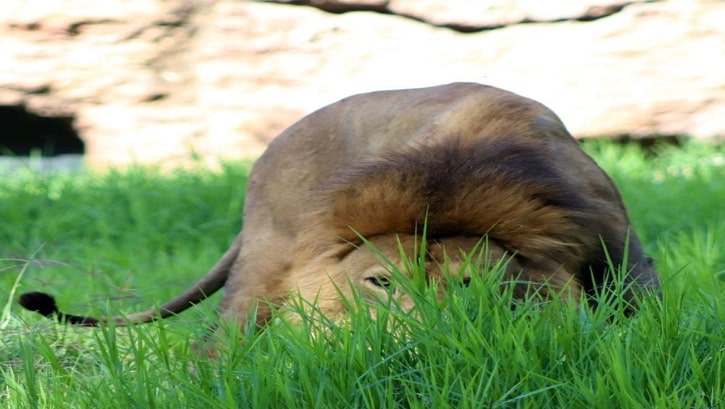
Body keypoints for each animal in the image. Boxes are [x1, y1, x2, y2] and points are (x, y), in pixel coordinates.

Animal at [18, 82, 660, 332]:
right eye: (380, 282)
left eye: (473, 284)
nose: (427, 333)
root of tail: (268, 150)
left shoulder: (624, 259)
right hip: (260, 273)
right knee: (216, 346)